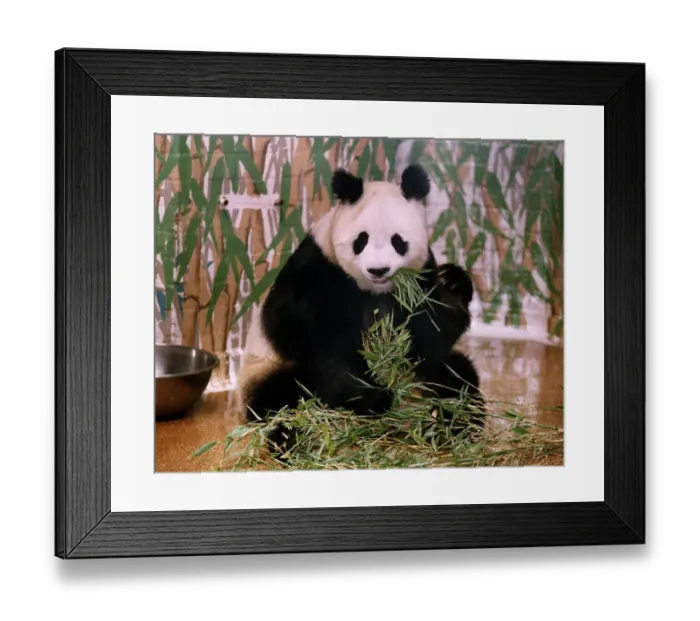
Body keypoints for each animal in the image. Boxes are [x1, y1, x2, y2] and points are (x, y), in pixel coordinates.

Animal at [235, 164, 484, 449]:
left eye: (398, 241)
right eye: (361, 240)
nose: (378, 270)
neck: (374, 290)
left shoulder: (419, 279)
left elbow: (429, 338)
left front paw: (450, 286)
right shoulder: (315, 272)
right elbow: (312, 339)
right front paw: (370, 396)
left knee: (458, 376)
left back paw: (453, 422)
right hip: (266, 368)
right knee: (279, 396)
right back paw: (293, 436)